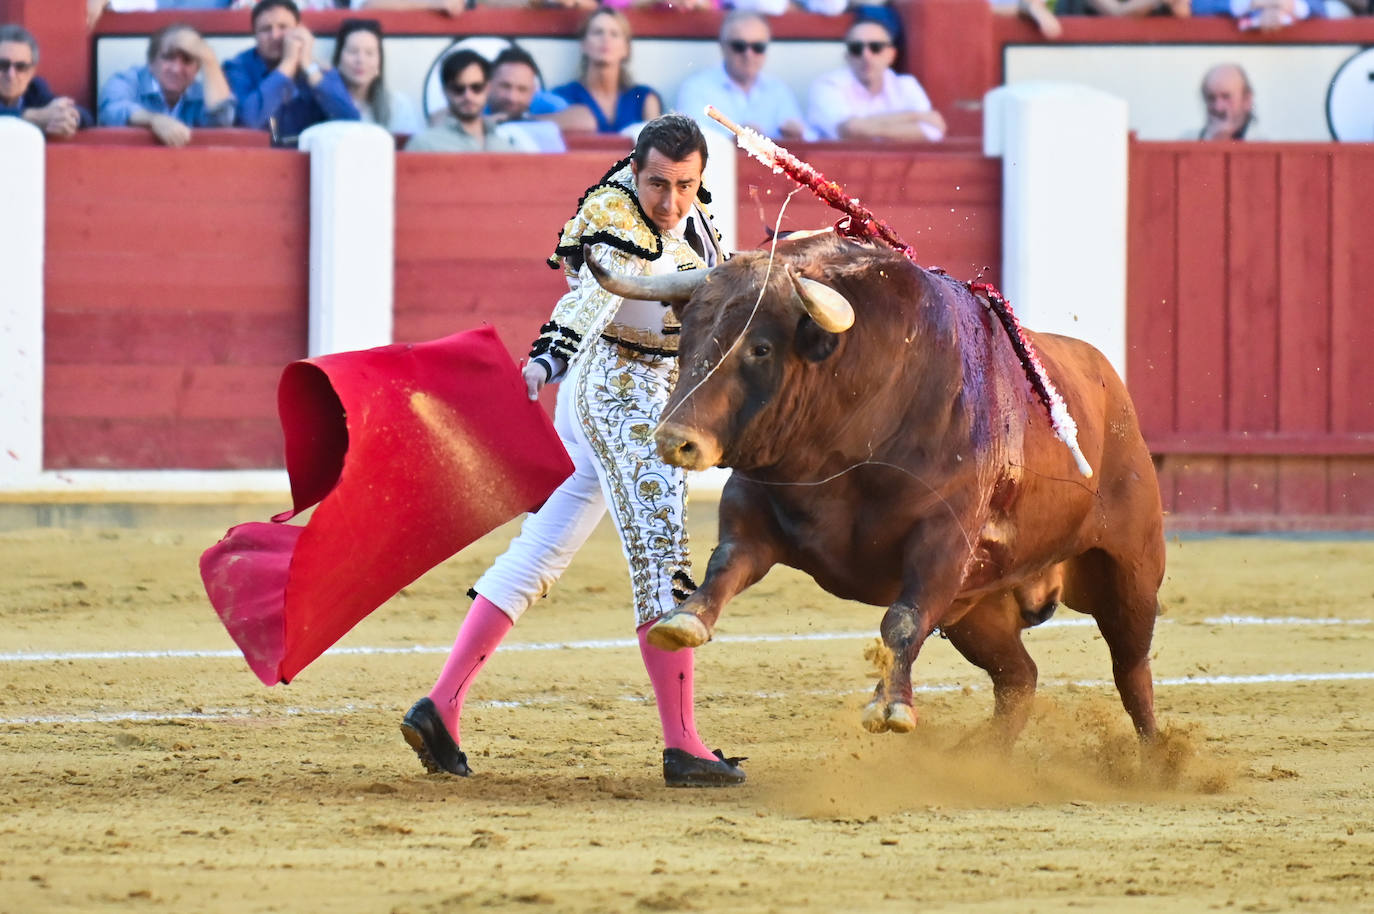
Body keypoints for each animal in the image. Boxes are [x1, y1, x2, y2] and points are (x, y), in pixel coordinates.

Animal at [585, 232, 1165, 747]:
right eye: (685, 340)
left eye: (761, 348)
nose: (674, 440)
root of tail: (1112, 387)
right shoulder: (756, 511)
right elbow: (726, 563)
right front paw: (684, 620)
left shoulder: (943, 543)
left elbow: (902, 620)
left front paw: (891, 707)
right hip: (978, 609)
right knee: (1020, 677)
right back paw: (981, 754)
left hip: (1131, 571)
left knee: (1131, 669)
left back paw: (1157, 760)